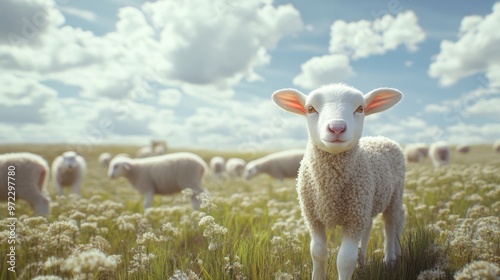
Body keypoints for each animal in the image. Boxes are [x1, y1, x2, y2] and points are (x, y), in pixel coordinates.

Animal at [274, 82, 406, 278]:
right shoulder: (314, 218)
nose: (337, 128)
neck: (331, 187)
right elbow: (317, 252)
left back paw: (390, 259)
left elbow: (344, 260)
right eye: (310, 109)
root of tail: (380, 138)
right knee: (369, 227)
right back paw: (363, 261)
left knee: (390, 226)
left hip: (393, 195)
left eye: (360, 108)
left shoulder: (353, 219)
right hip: (366, 205)